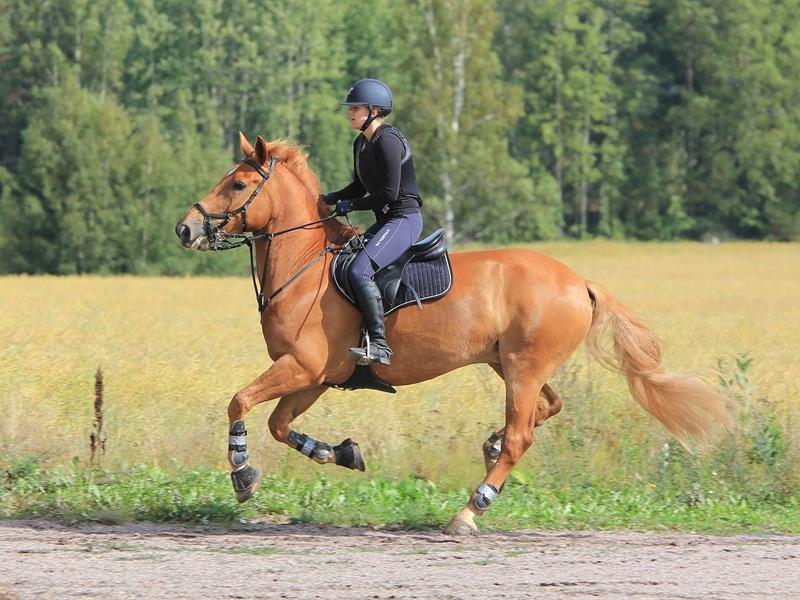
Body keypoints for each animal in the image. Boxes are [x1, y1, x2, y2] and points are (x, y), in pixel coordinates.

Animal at [175, 132, 734, 535]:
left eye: (238, 185)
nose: (186, 229)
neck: (305, 266)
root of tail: (580, 282)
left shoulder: (302, 366)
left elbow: (240, 402)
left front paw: (242, 473)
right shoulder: (316, 377)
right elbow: (278, 425)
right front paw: (342, 453)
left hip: (524, 367)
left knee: (522, 434)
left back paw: (470, 510)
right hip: (512, 364)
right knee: (545, 408)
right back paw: (489, 446)